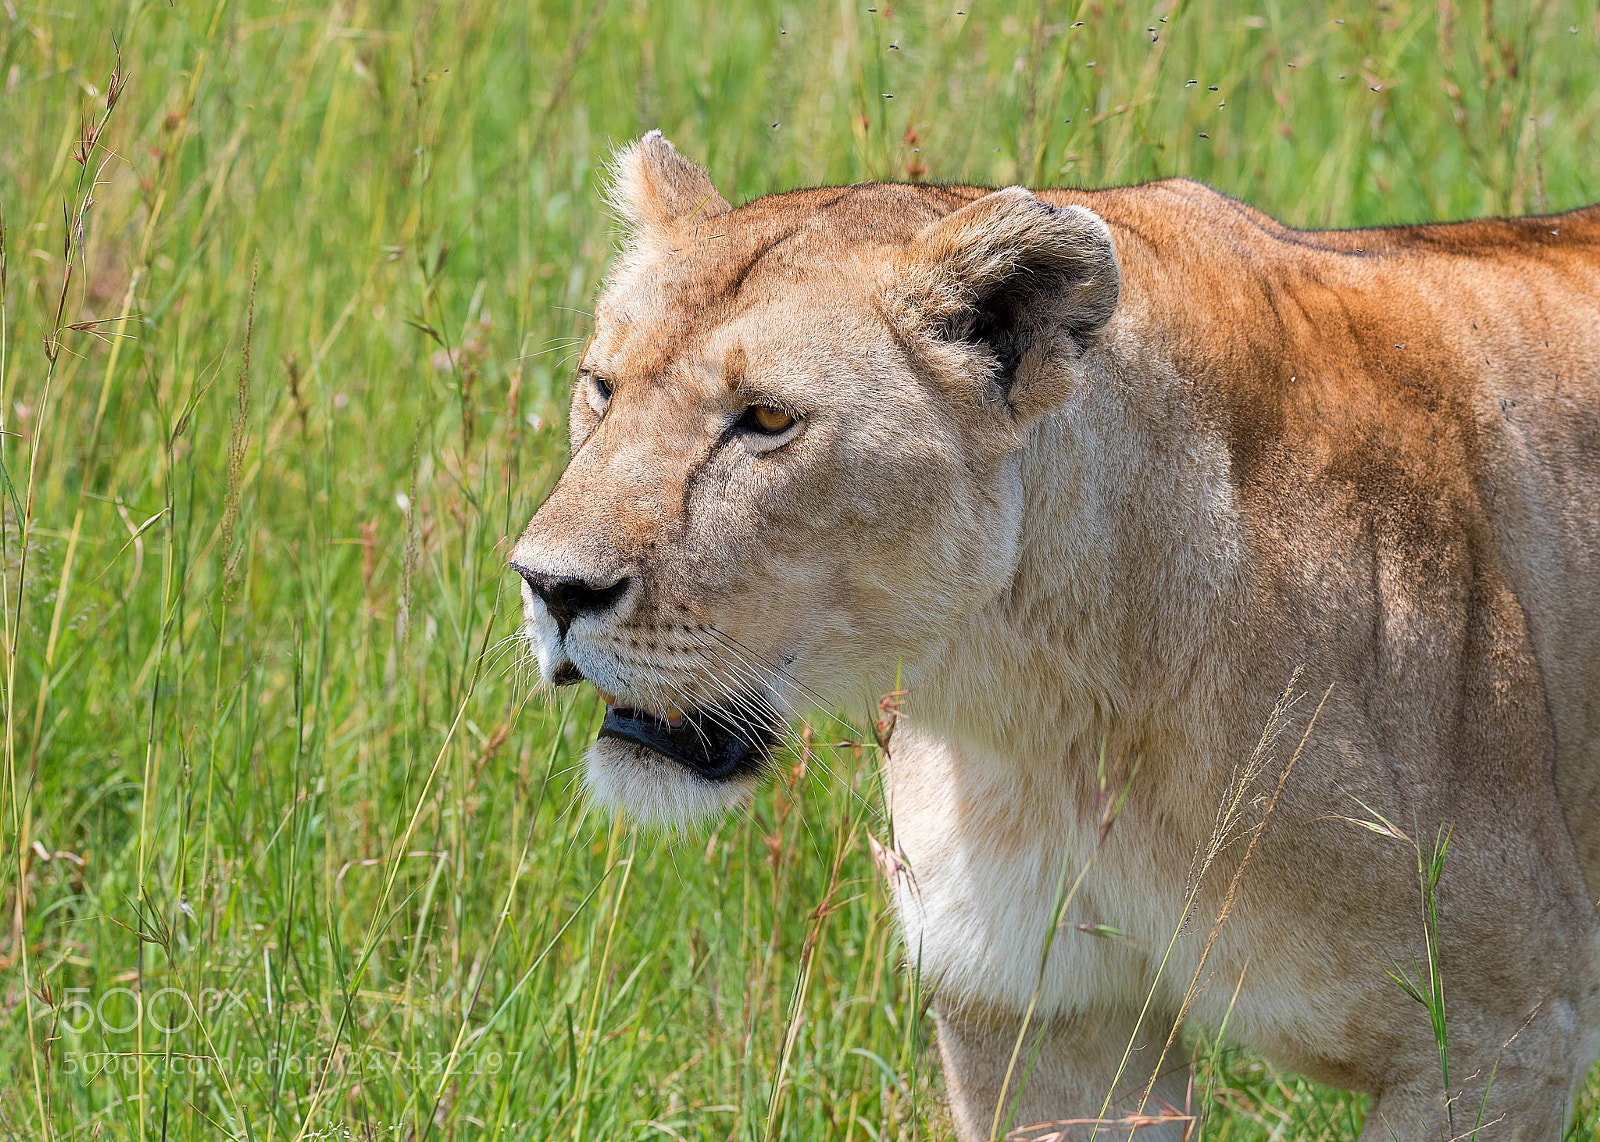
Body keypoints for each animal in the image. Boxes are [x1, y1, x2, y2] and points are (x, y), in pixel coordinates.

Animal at [509, 131, 1600, 1141]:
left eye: (767, 419)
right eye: (601, 387)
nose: (550, 586)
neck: (1054, 704)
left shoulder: (1497, 1037)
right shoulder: (1040, 1013)